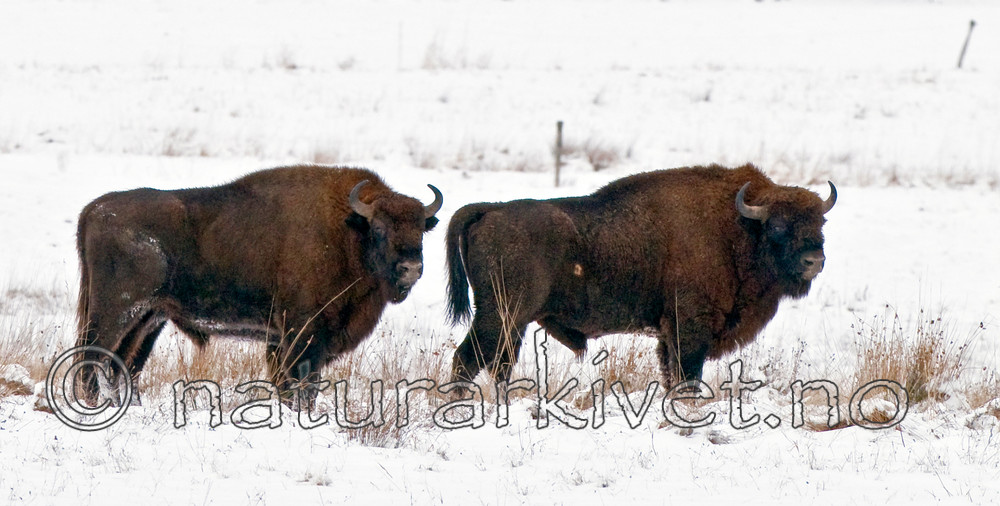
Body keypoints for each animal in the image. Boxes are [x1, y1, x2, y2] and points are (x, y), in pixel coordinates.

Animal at [75, 165, 442, 403]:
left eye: (421, 230)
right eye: (379, 229)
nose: (411, 268)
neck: (347, 231)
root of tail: (93, 209)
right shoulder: (303, 334)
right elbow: (300, 384)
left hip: (148, 318)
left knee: (122, 363)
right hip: (115, 311)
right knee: (93, 356)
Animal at [446, 163, 835, 385]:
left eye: (820, 221)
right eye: (778, 225)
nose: (814, 260)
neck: (738, 227)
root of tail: (489, 210)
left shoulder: (668, 334)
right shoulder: (689, 328)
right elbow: (686, 376)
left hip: (515, 321)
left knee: (498, 364)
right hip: (499, 315)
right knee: (468, 360)